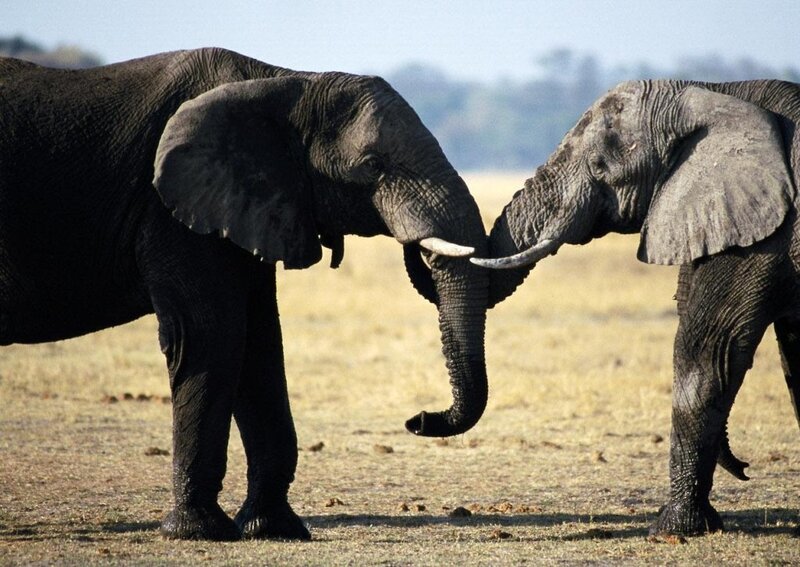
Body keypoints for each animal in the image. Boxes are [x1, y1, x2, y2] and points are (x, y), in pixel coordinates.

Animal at [0, 48, 490, 541]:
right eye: (373, 165)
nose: (418, 420)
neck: (287, 82)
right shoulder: (172, 210)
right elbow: (211, 335)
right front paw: (198, 531)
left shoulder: (251, 206)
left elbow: (259, 343)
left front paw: (274, 529)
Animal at [472, 79, 800, 536]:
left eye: (599, 166)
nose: (746, 467)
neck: (715, 92)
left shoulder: (767, 233)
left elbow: (706, 353)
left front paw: (674, 530)